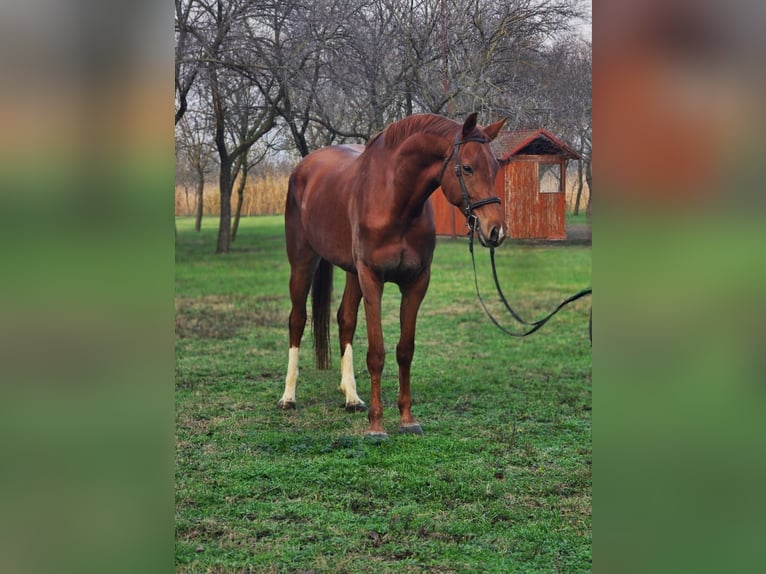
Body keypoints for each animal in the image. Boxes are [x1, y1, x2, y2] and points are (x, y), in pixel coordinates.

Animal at [278, 112, 507, 438]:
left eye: (496, 167)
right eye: (467, 167)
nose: (496, 231)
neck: (395, 200)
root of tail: (304, 166)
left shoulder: (416, 282)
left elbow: (404, 350)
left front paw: (407, 419)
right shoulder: (373, 279)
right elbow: (377, 353)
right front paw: (376, 425)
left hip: (352, 272)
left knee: (345, 320)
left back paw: (351, 397)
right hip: (303, 262)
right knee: (297, 320)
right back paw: (288, 397)